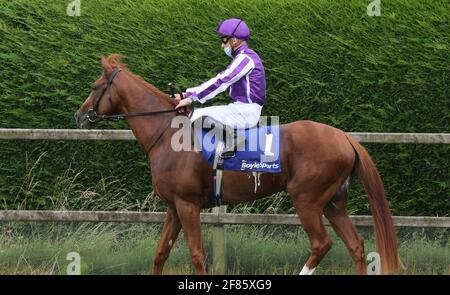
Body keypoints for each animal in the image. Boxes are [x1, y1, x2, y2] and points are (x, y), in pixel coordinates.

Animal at [74, 55, 400, 276]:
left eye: (94, 86)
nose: (79, 116)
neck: (168, 133)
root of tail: (345, 138)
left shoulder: (188, 205)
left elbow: (196, 254)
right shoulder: (173, 207)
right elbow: (160, 253)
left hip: (307, 200)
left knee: (321, 244)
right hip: (333, 202)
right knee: (356, 245)